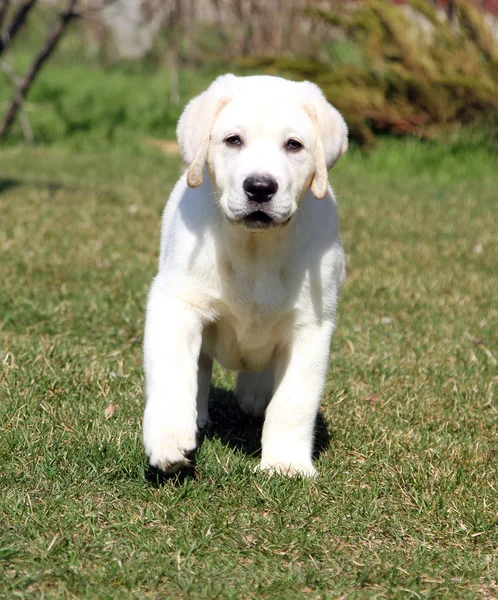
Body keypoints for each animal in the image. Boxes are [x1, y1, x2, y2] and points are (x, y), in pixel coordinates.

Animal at [142, 74, 348, 478]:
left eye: (294, 145)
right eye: (233, 140)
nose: (260, 187)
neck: (255, 248)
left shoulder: (311, 327)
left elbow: (294, 401)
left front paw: (286, 462)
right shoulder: (176, 303)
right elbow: (174, 373)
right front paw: (169, 440)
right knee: (200, 366)